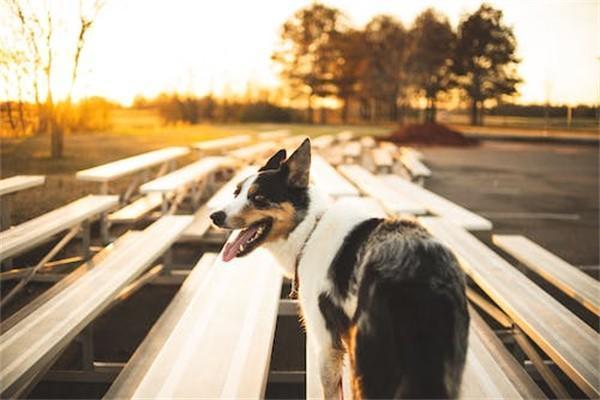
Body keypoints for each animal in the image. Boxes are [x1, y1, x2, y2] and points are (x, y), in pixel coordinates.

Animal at [210, 139, 468, 398]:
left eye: (259, 198)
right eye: (236, 193)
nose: (215, 216)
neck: (309, 229)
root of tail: (422, 276)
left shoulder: (327, 343)